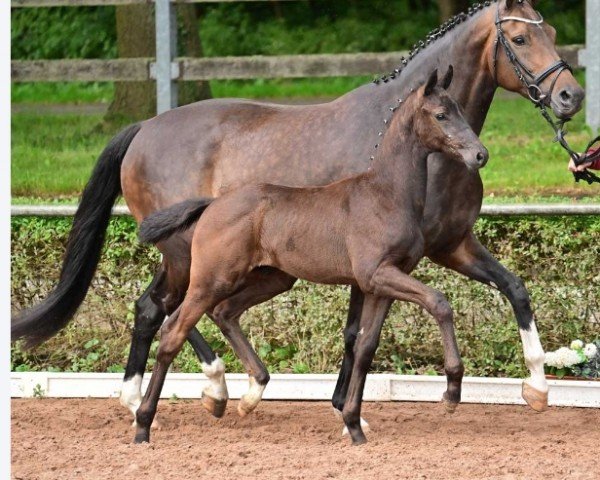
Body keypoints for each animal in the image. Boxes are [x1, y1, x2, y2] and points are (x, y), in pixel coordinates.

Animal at [138, 68, 490, 446]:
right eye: (441, 115)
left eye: (460, 111)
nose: (480, 155)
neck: (387, 194)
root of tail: (212, 205)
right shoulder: (377, 274)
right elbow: (439, 302)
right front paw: (452, 391)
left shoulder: (381, 284)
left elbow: (366, 346)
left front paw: (353, 424)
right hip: (211, 280)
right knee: (173, 331)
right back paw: (144, 423)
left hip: (271, 278)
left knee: (225, 312)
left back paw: (248, 395)